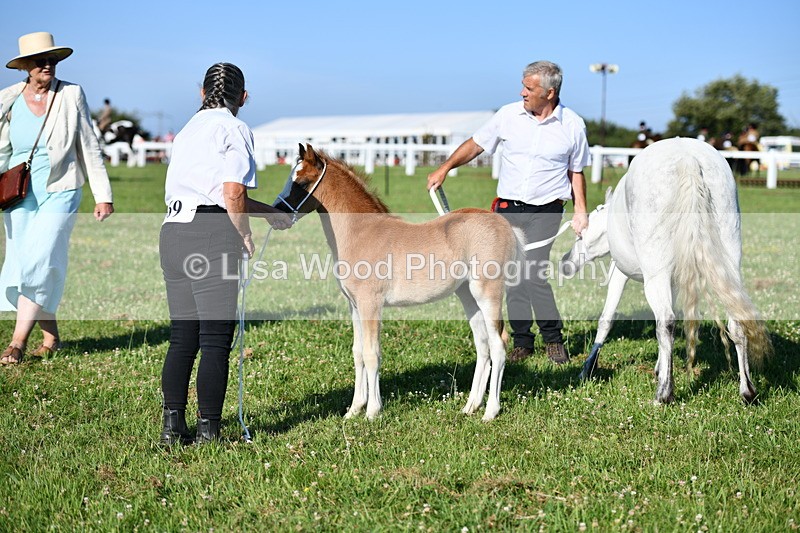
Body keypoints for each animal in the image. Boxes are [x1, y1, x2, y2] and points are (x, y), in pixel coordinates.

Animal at [273, 144, 525, 421]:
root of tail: (507, 227)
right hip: (467, 296)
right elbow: (358, 353)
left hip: (487, 293)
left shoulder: (371, 304)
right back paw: (471, 406)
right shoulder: (355, 305)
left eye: (301, 182)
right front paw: (353, 410)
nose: (275, 215)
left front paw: (372, 411)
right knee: (483, 346)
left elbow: (372, 354)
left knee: (498, 344)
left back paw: (490, 412)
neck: (361, 233)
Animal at [560, 138, 769, 404]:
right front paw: (660, 367)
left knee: (666, 321)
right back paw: (747, 391)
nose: (565, 262)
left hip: (656, 273)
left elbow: (607, 319)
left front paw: (587, 369)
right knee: (735, 323)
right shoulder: (672, 280)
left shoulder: (622, 273)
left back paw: (664, 394)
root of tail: (688, 157)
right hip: (727, 264)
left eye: (580, 235)